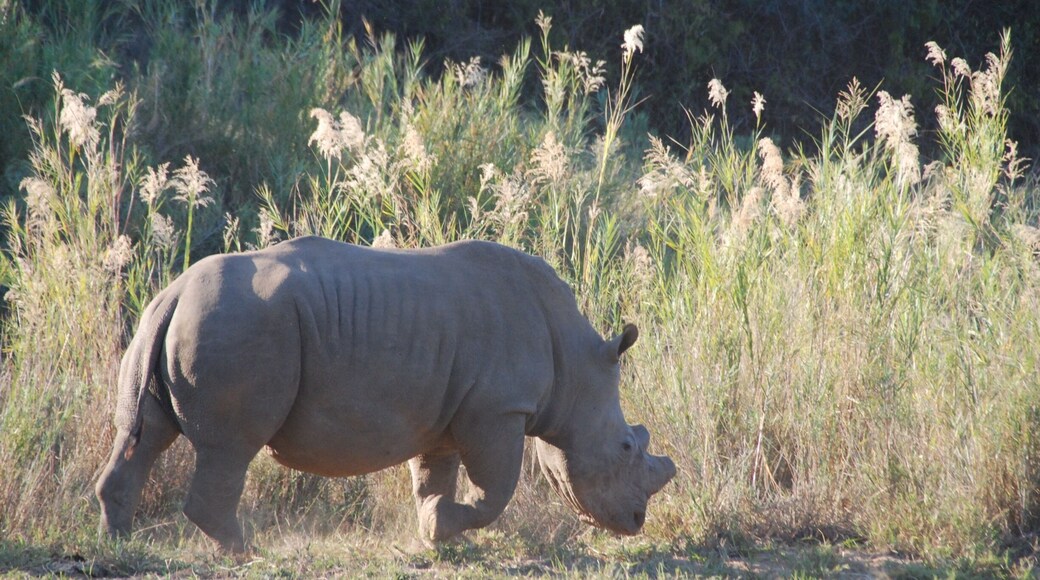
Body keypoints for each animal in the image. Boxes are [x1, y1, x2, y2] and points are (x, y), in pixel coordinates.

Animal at [95, 236, 676, 552]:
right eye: (627, 447)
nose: (635, 524)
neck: (573, 367)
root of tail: (172, 292)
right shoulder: (498, 409)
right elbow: (496, 490)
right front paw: (447, 527)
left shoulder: (447, 411)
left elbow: (433, 477)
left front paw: (436, 530)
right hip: (236, 326)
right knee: (229, 448)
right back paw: (244, 551)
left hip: (177, 322)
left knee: (145, 434)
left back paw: (119, 541)